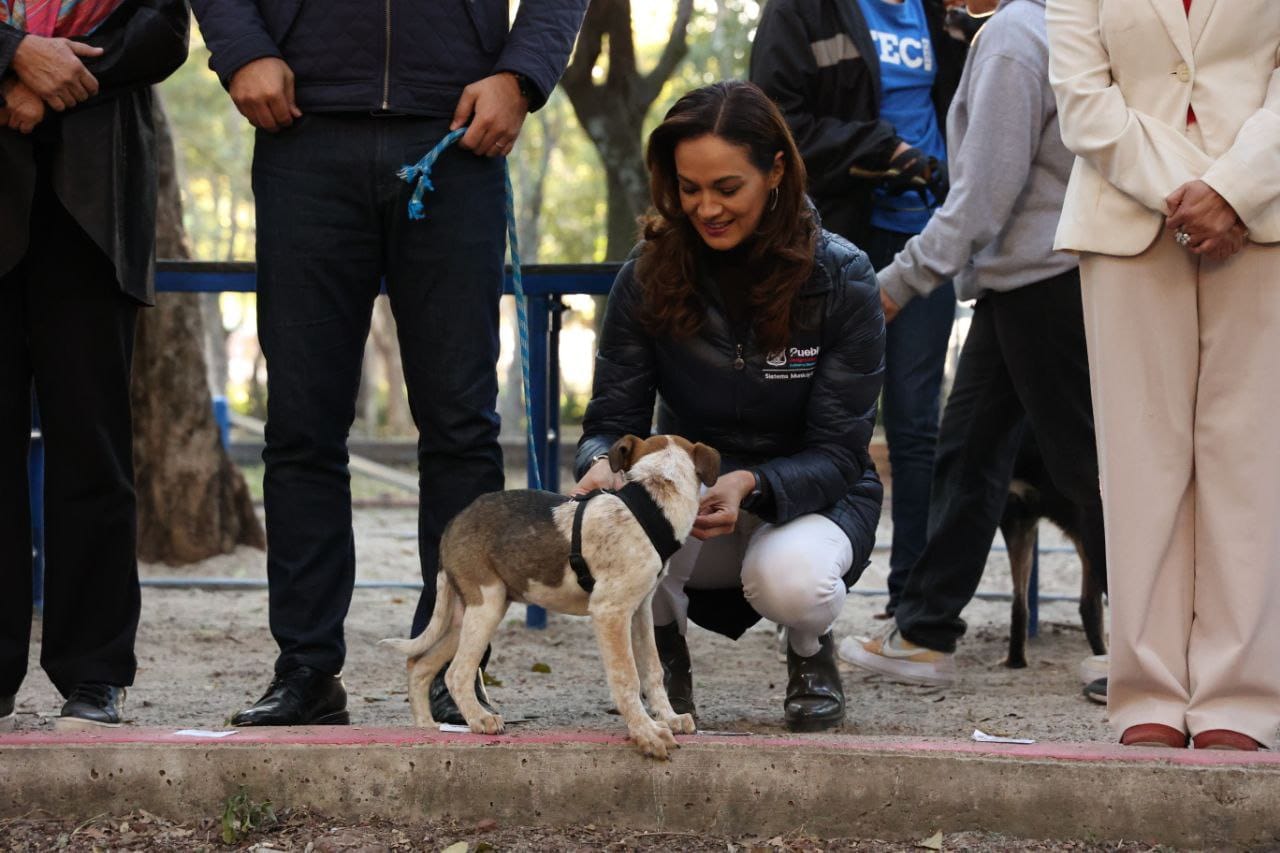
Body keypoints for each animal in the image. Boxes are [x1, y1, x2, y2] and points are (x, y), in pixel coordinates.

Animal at [378, 432, 721, 758]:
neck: (652, 501)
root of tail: (453, 523)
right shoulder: (610, 611)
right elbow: (627, 678)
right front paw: (646, 733)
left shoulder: (640, 611)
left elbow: (652, 670)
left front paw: (669, 718)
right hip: (486, 607)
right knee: (457, 672)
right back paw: (479, 719)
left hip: (468, 615)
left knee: (420, 664)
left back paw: (426, 726)